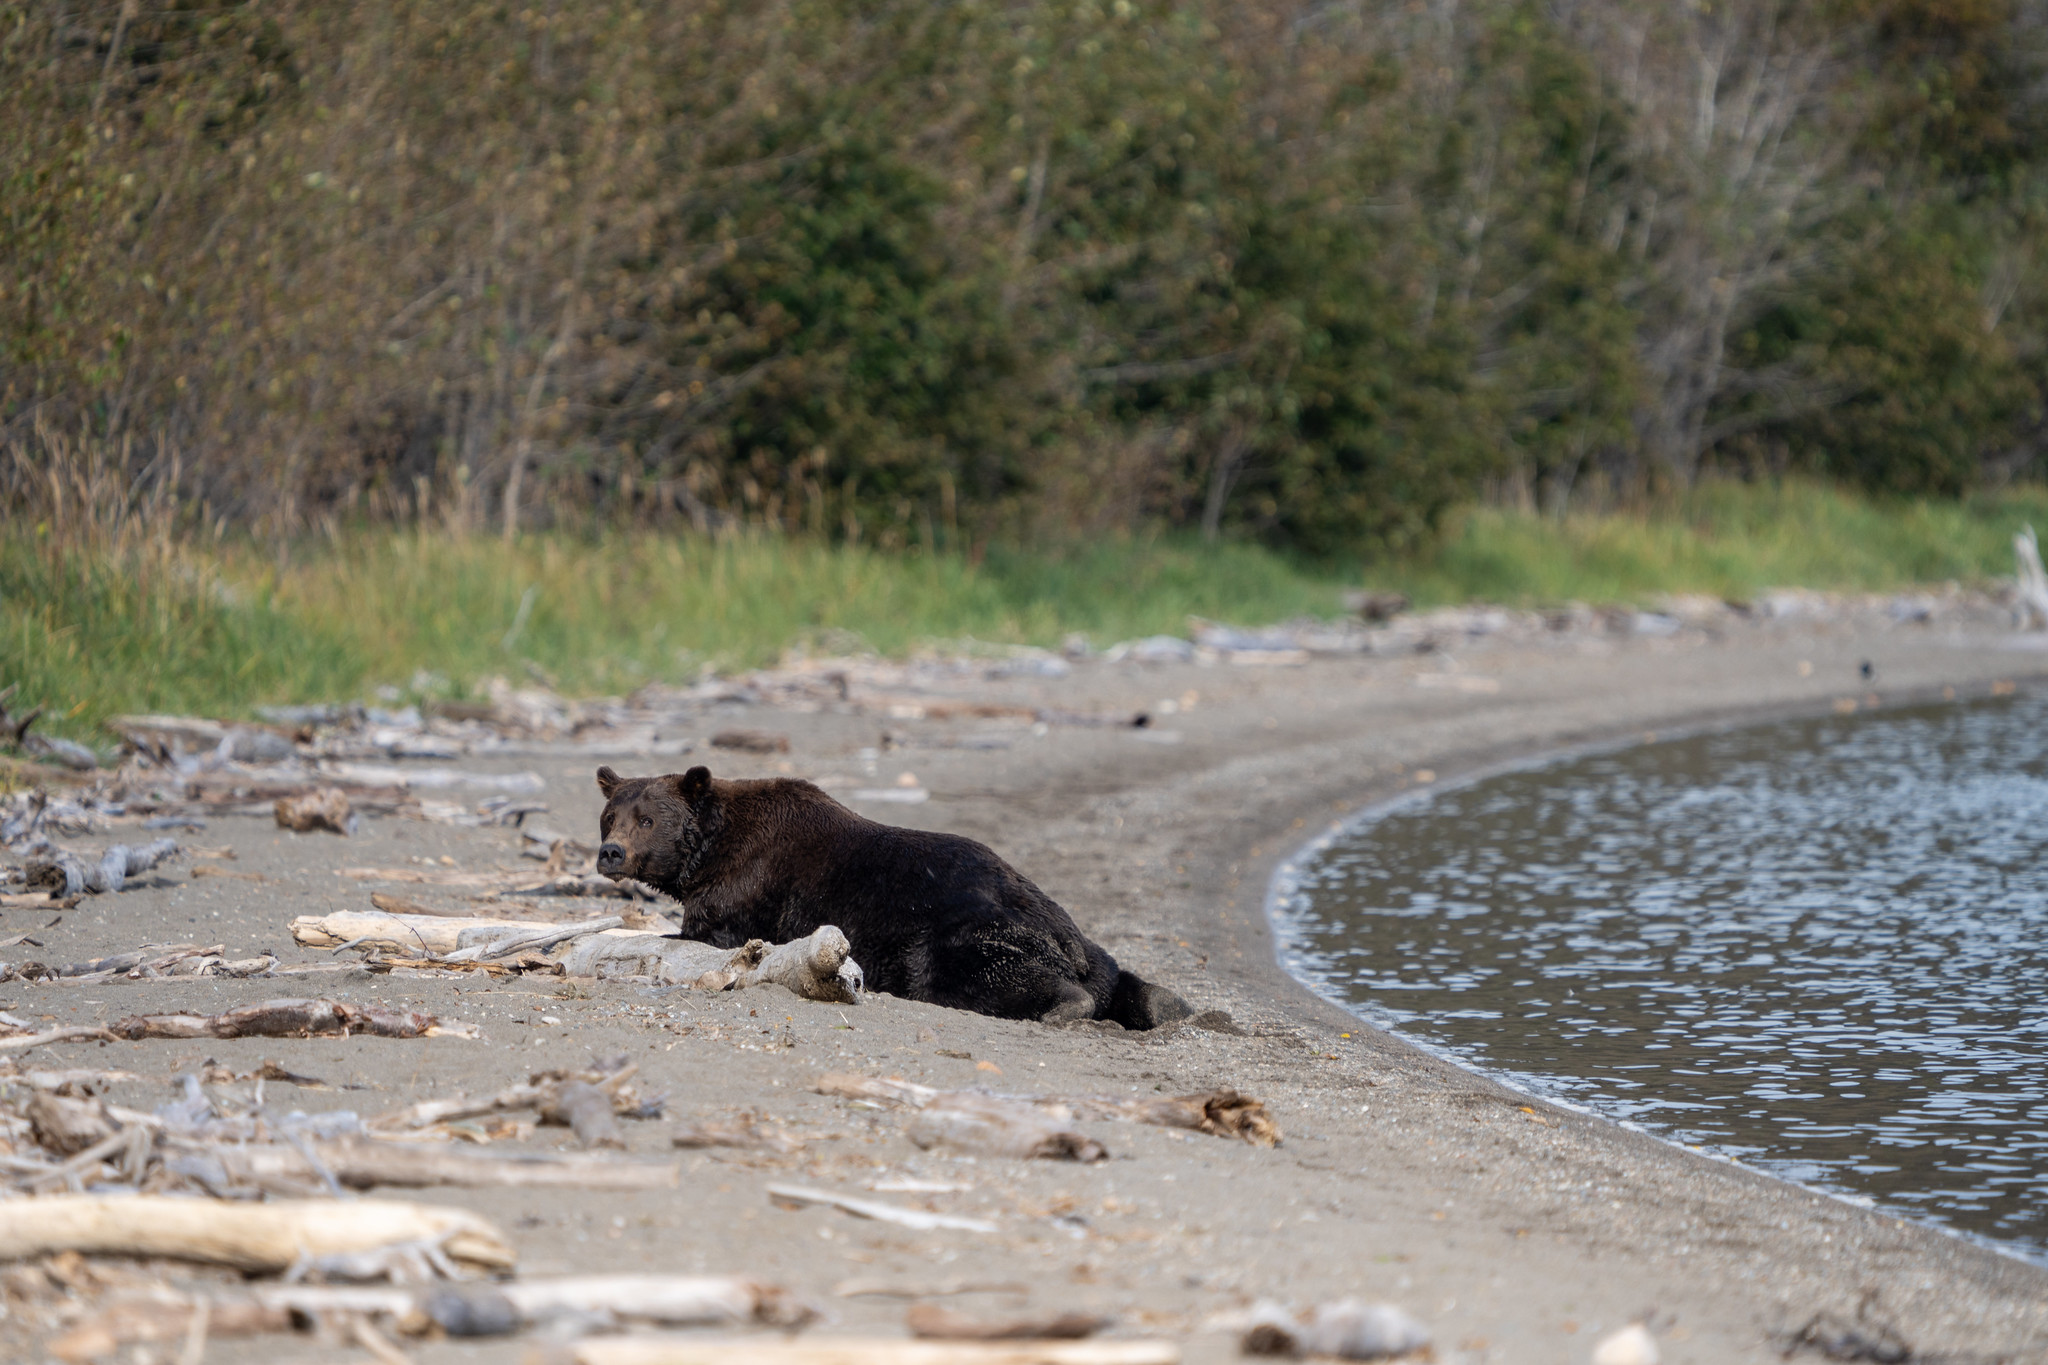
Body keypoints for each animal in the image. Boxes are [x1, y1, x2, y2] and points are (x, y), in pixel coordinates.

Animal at [593, 765, 1196, 1031]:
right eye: (610, 815)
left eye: (648, 819)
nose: (610, 853)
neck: (712, 850)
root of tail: (1060, 934)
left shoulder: (749, 886)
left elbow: (710, 931)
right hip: (1077, 937)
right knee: (1115, 970)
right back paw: (1164, 1002)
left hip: (961, 932)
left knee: (980, 972)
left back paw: (1063, 1005)